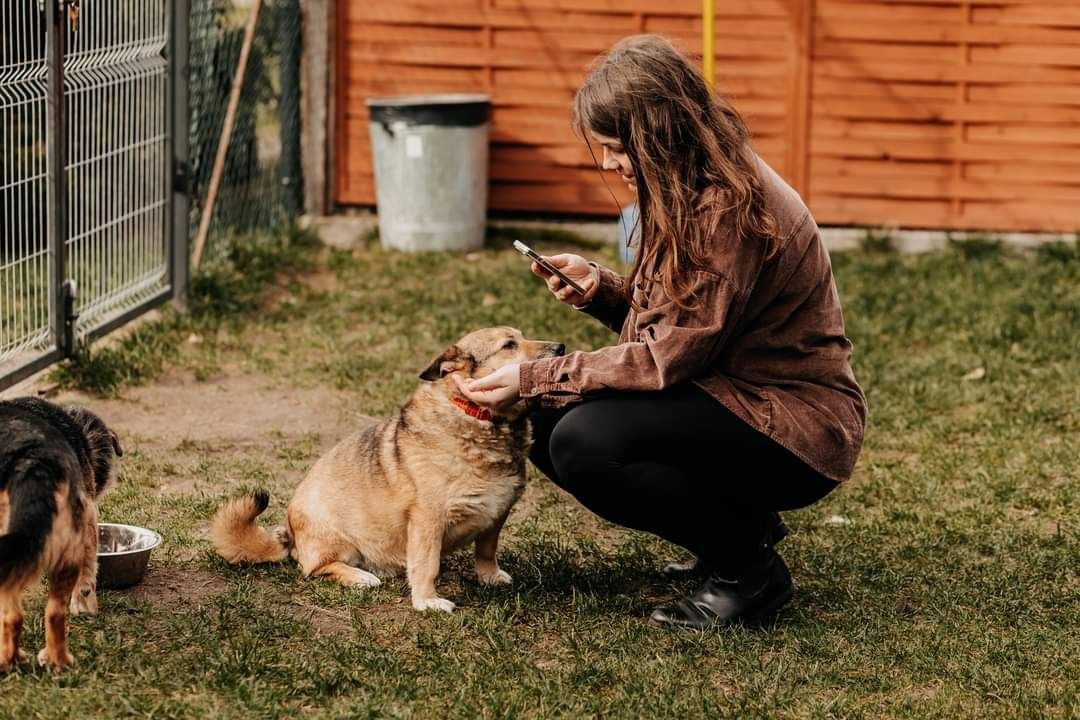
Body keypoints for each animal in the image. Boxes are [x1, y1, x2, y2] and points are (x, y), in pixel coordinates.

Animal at [0, 397, 123, 673]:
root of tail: (28, 456)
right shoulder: (89, 515)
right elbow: (89, 570)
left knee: (21, 615)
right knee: (50, 614)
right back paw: (56, 661)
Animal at [211, 328, 565, 613]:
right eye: (509, 344)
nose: (561, 347)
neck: (481, 420)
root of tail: (289, 533)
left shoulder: (496, 513)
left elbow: (487, 551)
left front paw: (489, 577)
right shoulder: (428, 520)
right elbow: (426, 565)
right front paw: (426, 601)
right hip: (338, 540)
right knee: (314, 569)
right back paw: (359, 576)